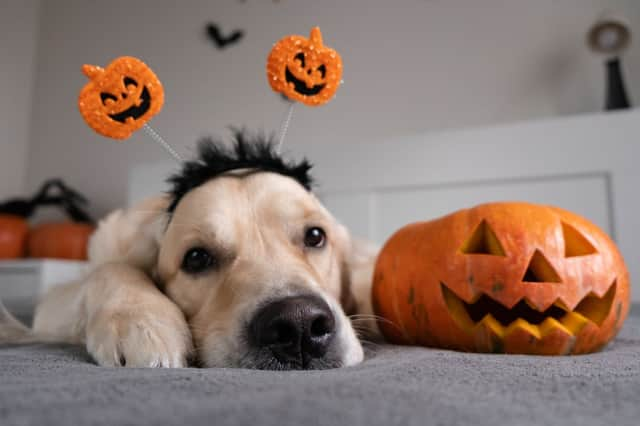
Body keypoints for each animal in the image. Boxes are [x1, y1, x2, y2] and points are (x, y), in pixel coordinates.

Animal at [0, 134, 380, 370]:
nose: (298, 324)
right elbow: (112, 269)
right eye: (196, 258)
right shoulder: (53, 306)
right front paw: (141, 320)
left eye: (315, 236)